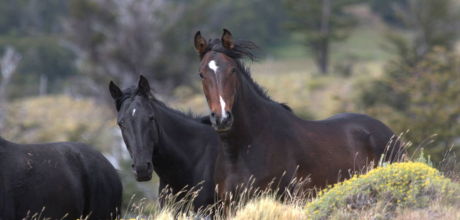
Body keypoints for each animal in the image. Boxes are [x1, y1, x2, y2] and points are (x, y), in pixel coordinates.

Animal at [192, 28, 404, 211]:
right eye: (201, 73)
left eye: (233, 70)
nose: (222, 119)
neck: (242, 150)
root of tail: (389, 133)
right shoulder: (230, 206)